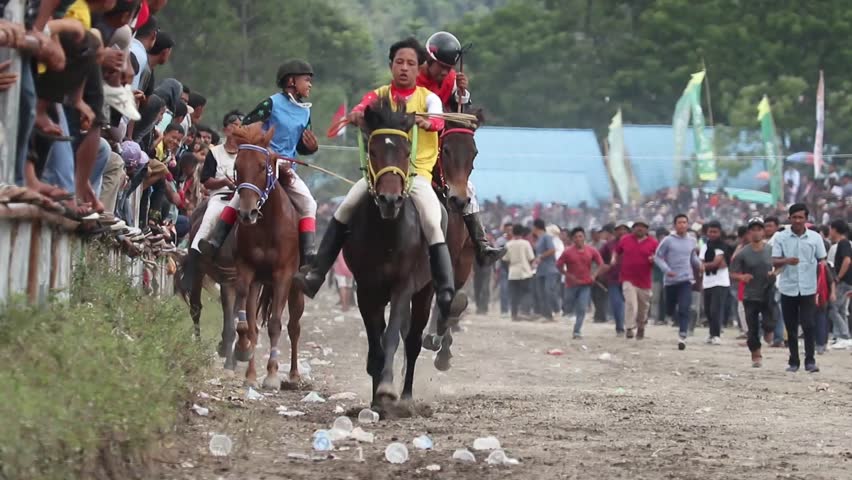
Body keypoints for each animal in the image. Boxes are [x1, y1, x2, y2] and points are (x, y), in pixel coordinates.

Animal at [228, 122, 304, 388]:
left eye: (263, 166)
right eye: (237, 167)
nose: (247, 213)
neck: (268, 225)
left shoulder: (284, 275)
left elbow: (275, 324)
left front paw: (271, 374)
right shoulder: (248, 272)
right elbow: (249, 325)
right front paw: (247, 364)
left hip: (296, 287)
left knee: (294, 326)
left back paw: (294, 374)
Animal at [342, 99, 442, 406]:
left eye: (406, 151)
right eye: (373, 151)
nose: (389, 199)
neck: (386, 235)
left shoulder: (403, 286)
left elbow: (391, 338)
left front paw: (387, 388)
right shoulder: (366, 289)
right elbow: (375, 341)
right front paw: (377, 396)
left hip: (425, 291)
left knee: (413, 341)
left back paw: (406, 396)